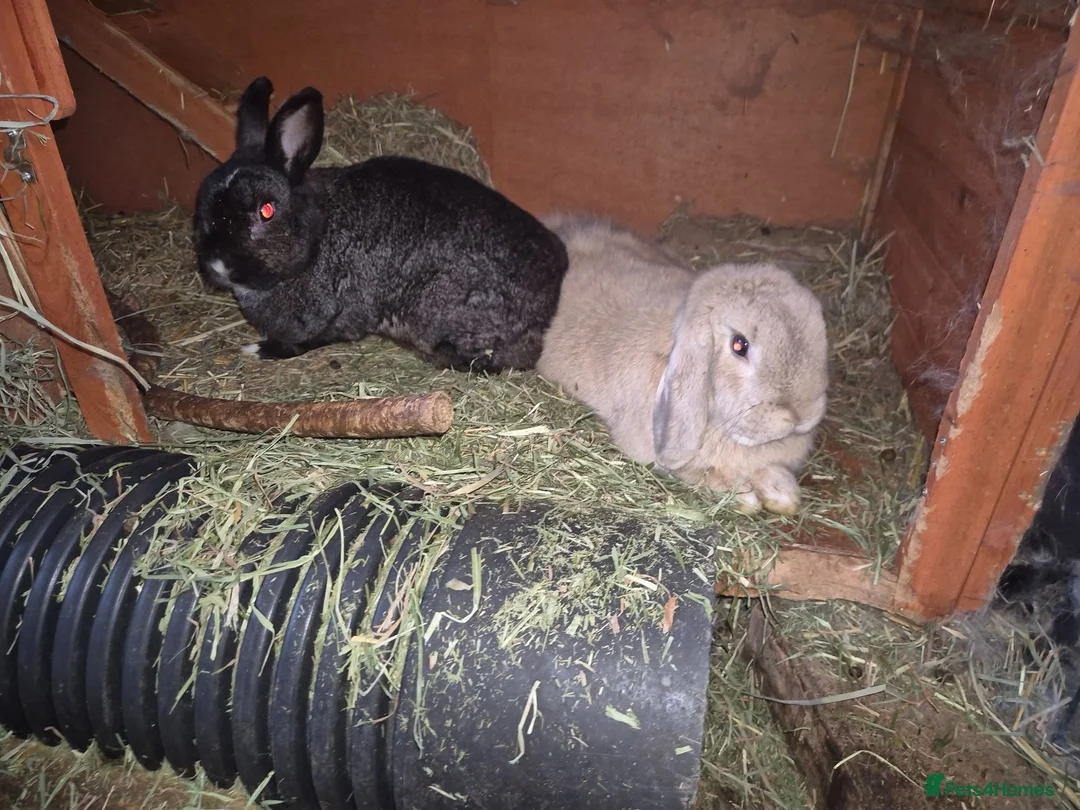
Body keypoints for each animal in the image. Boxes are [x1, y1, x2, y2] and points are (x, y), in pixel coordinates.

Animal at [193, 77, 568, 371]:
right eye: (203, 205)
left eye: (266, 211)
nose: (218, 263)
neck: (316, 241)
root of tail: (550, 302)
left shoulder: (333, 315)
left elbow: (306, 341)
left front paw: (260, 349)